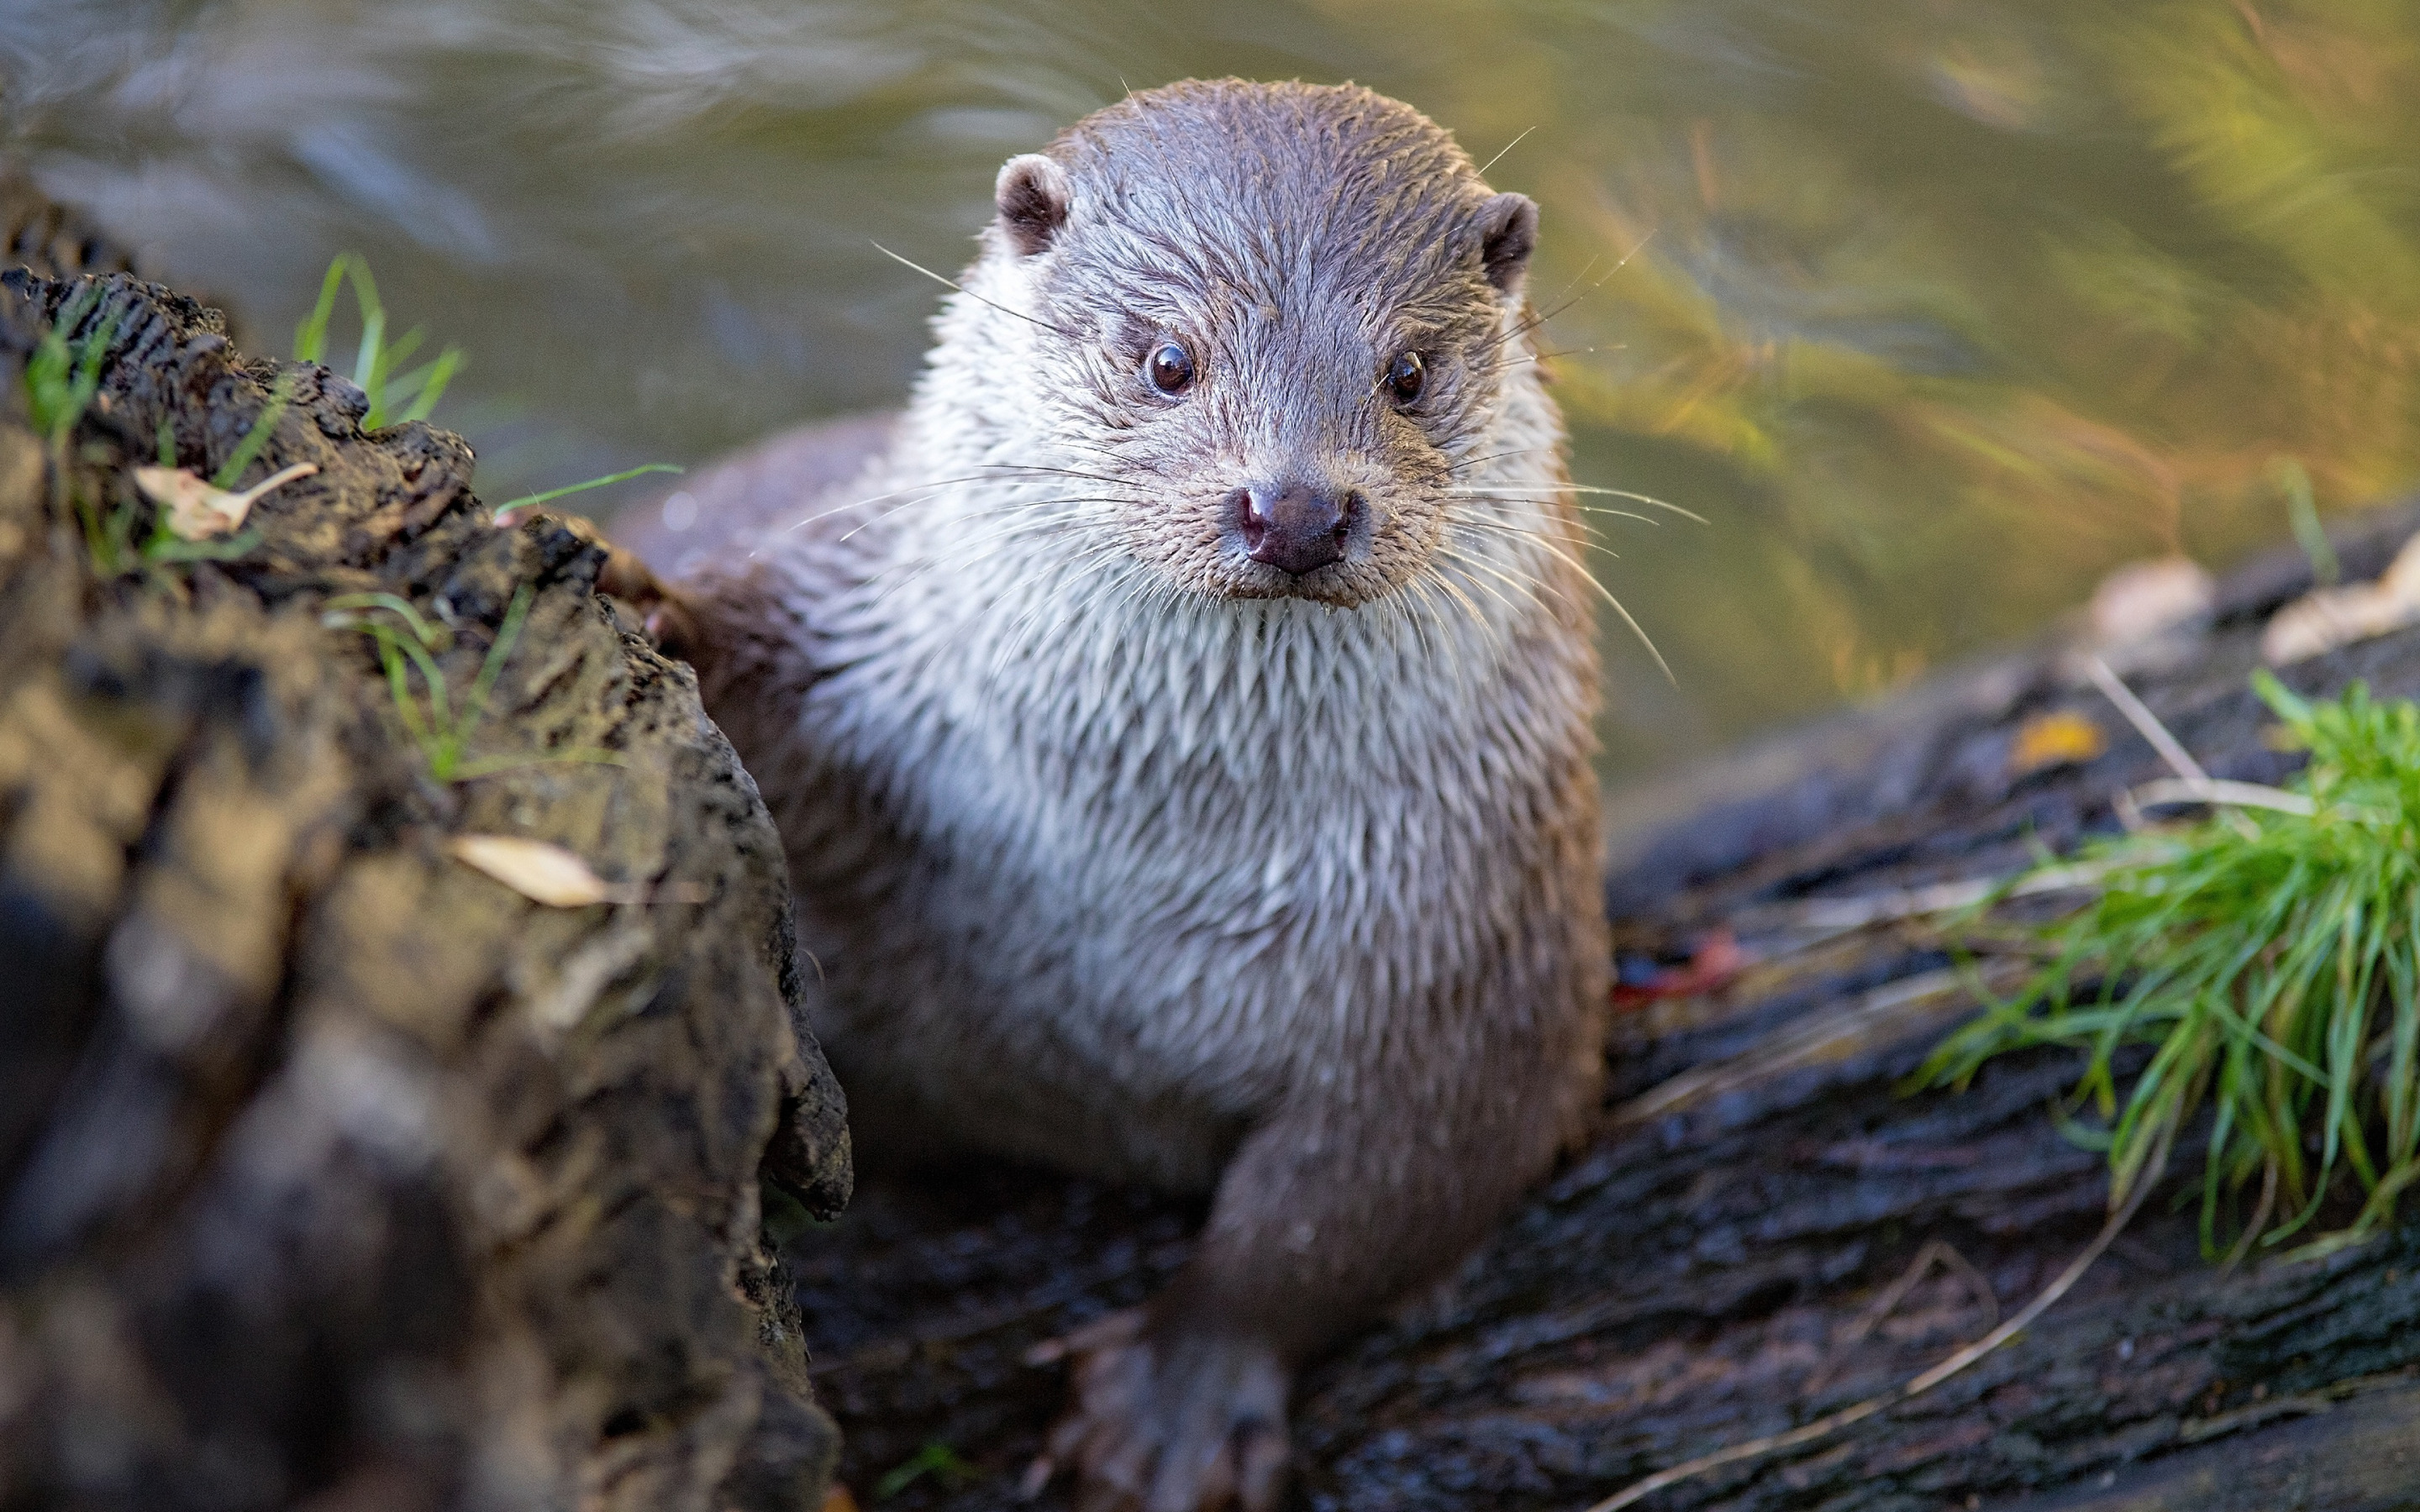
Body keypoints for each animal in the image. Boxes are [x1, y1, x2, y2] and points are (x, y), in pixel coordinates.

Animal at [624, 80, 1607, 1509]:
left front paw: (1174, 1403)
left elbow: (1349, 1206)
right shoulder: (859, 652)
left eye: (1410, 374)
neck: (1136, 862)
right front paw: (656, 616)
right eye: (1169, 362)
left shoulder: (1473, 954)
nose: (1294, 507)